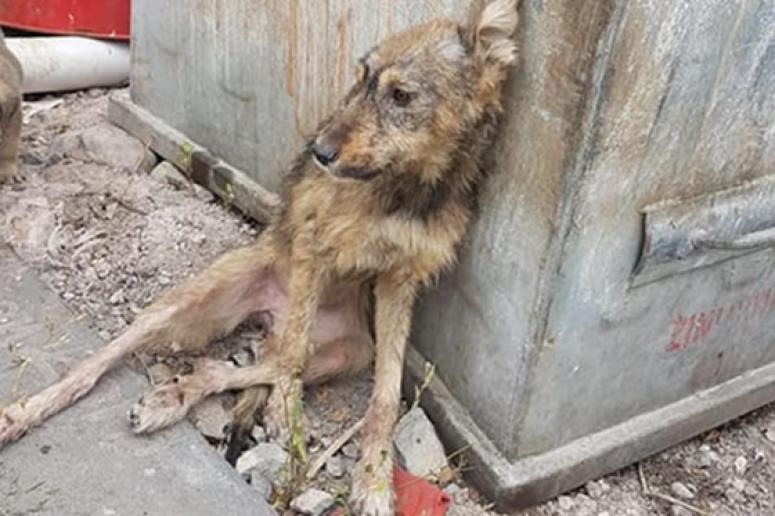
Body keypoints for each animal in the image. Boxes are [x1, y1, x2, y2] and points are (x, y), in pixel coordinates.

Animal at [1, 3, 520, 512]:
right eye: (361, 79)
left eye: (402, 96)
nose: (319, 151)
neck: (405, 189)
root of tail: (272, 314)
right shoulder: (314, 244)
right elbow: (293, 359)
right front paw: (289, 422)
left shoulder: (400, 281)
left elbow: (387, 394)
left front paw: (373, 479)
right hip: (189, 304)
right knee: (110, 362)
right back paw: (28, 413)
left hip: (351, 349)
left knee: (241, 367)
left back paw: (180, 397)